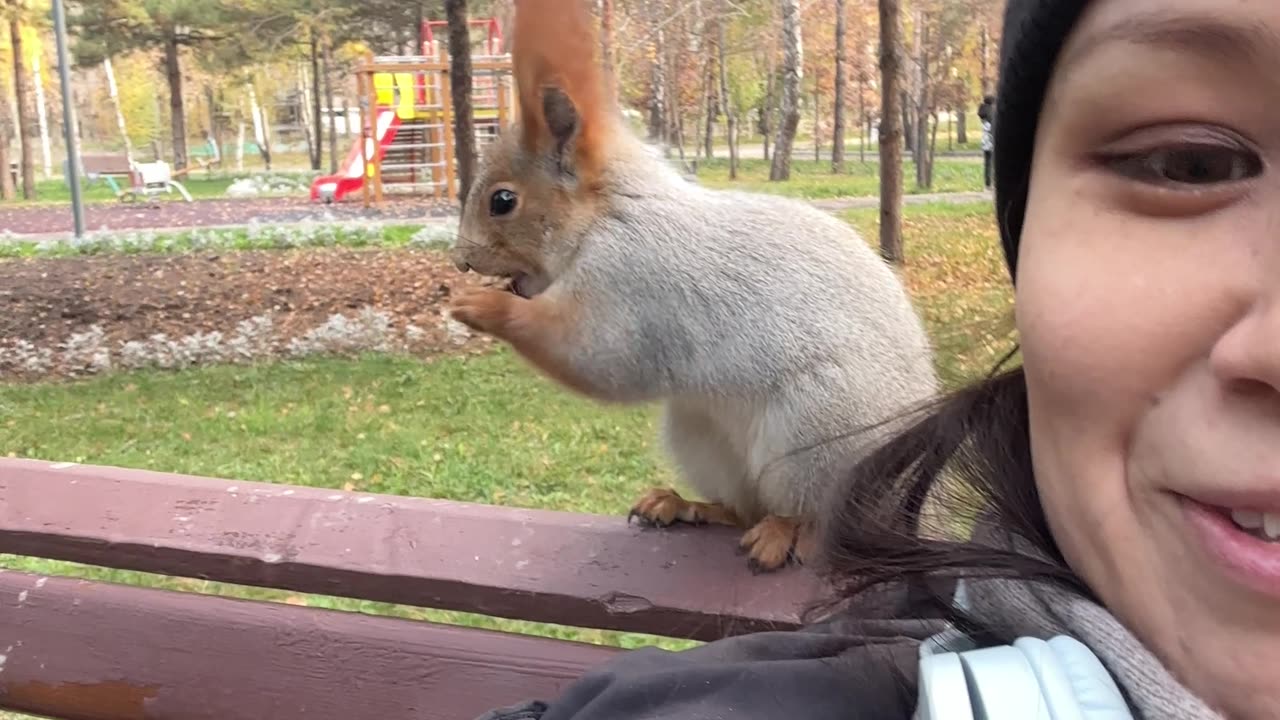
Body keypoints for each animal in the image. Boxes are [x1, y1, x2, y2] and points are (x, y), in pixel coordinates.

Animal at [450, 0, 942, 571]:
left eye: (502, 201)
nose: (461, 261)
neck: (610, 215)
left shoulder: (633, 284)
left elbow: (599, 356)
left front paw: (481, 306)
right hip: (700, 432)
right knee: (743, 507)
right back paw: (684, 506)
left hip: (817, 432)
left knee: (812, 512)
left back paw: (788, 532)